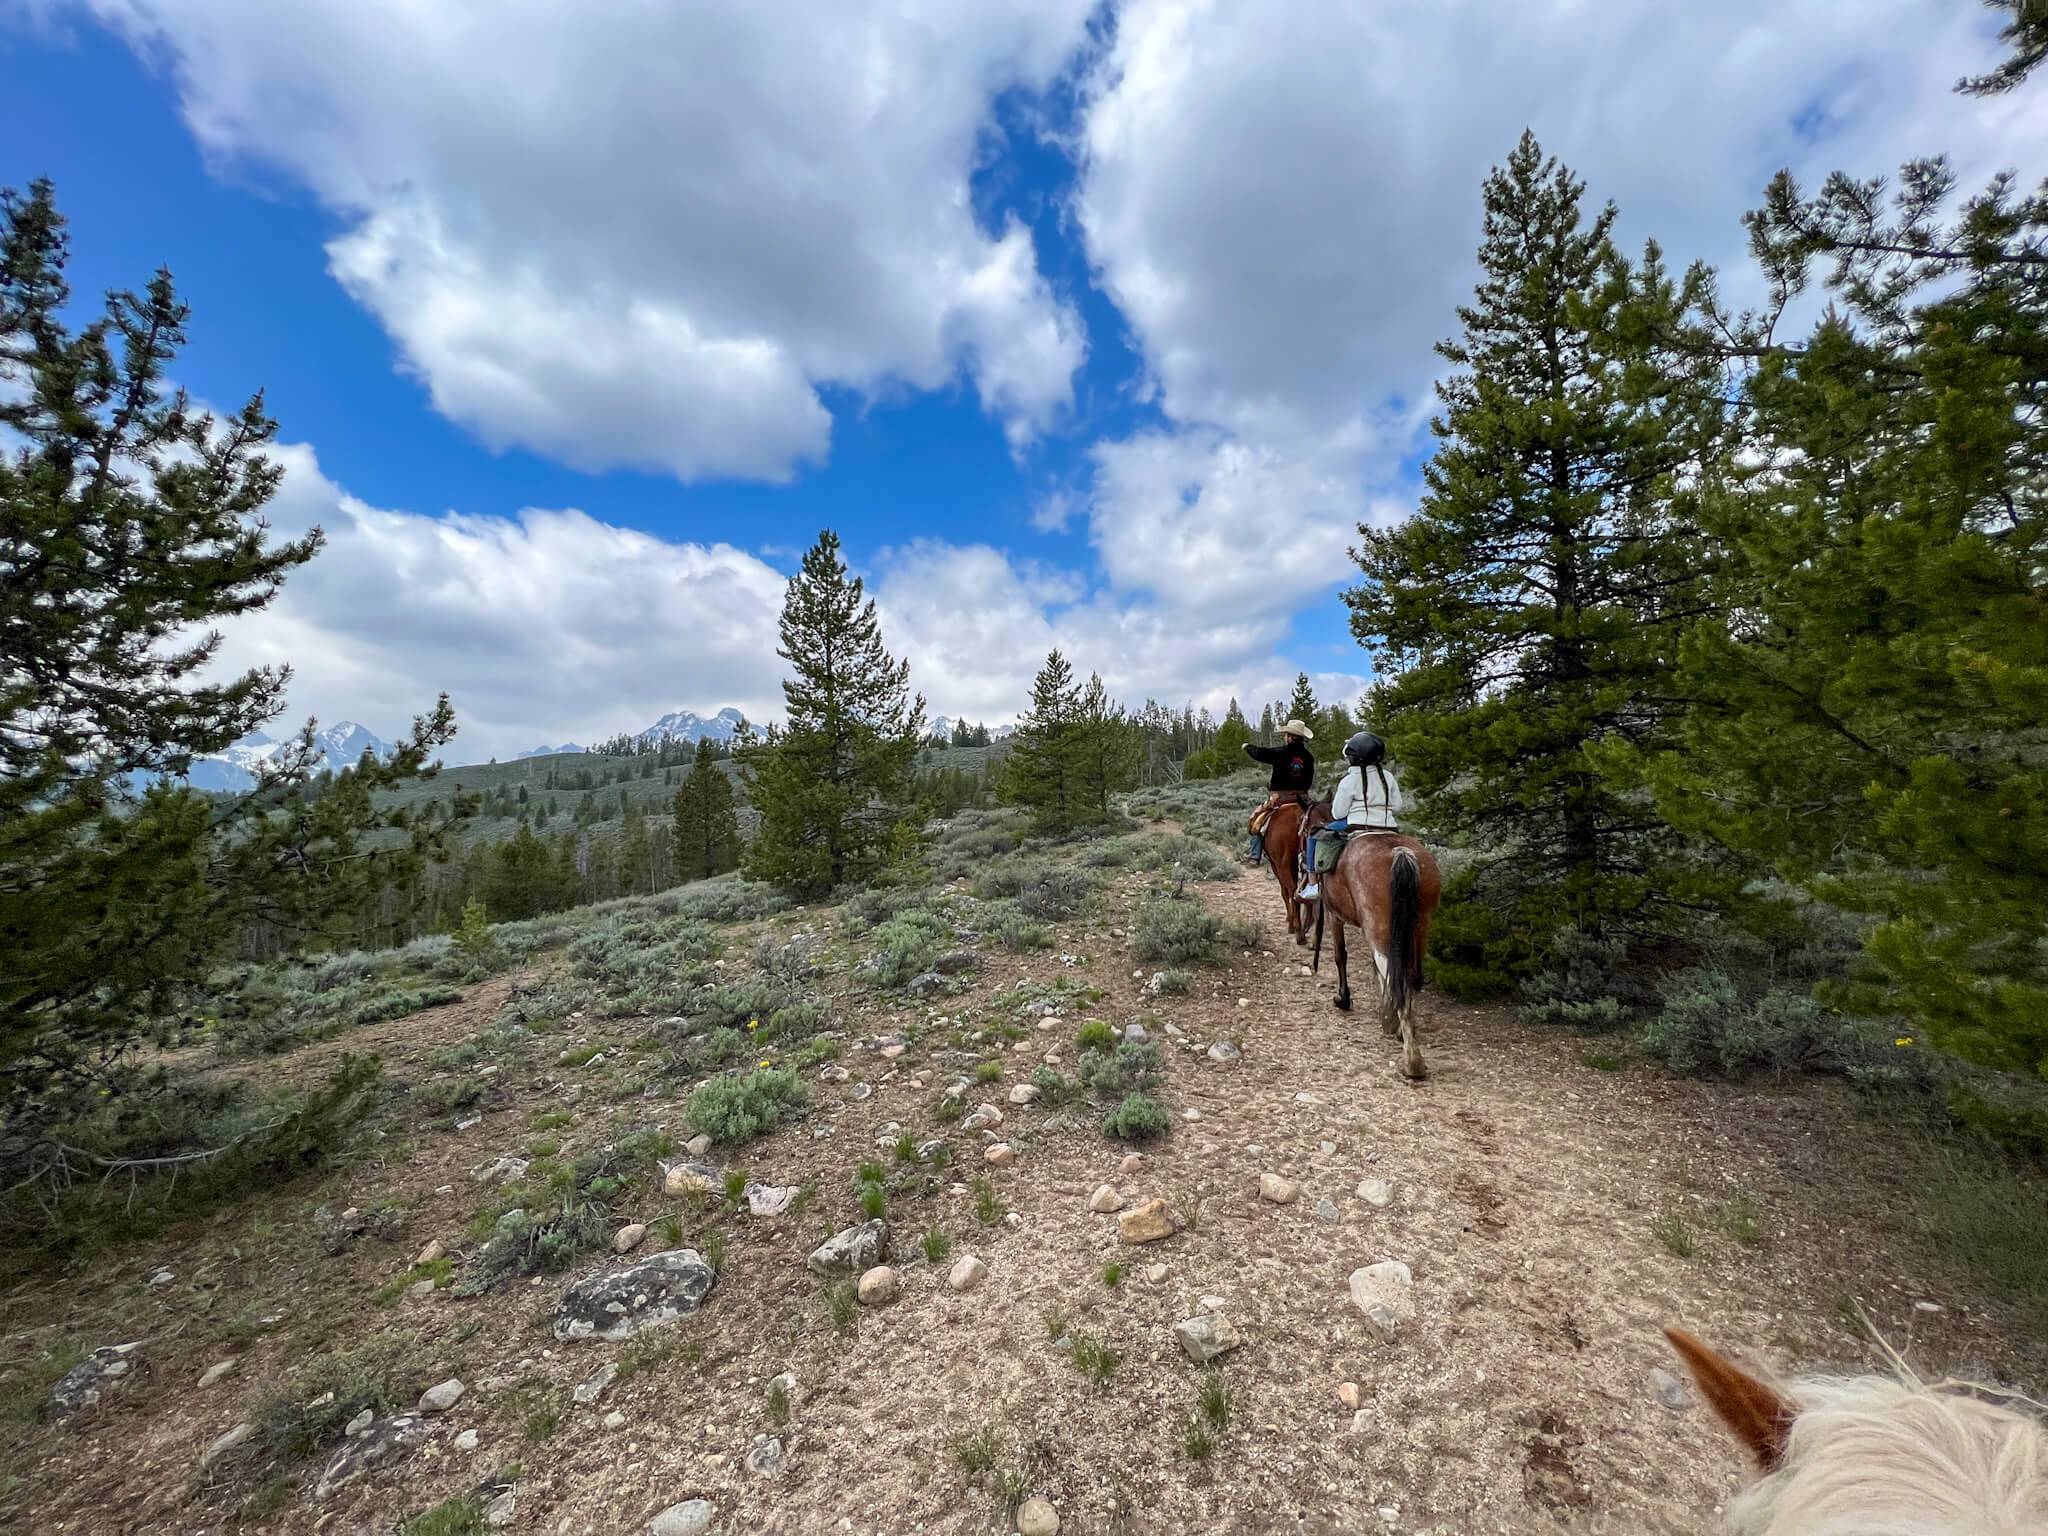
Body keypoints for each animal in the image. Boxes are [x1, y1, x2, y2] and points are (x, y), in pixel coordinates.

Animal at [1245, 798, 1310, 946]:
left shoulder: (1276, 866)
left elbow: (1284, 892)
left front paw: (1290, 921)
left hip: (1282, 866)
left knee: (1292, 891)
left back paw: (1298, 932)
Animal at [1302, 819, 1449, 1081]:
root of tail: (1401, 853)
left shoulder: (1334, 916)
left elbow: (1341, 956)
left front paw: (1343, 999)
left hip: (1378, 926)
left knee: (1395, 976)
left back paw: (1412, 1061)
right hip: (1420, 927)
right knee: (1410, 977)